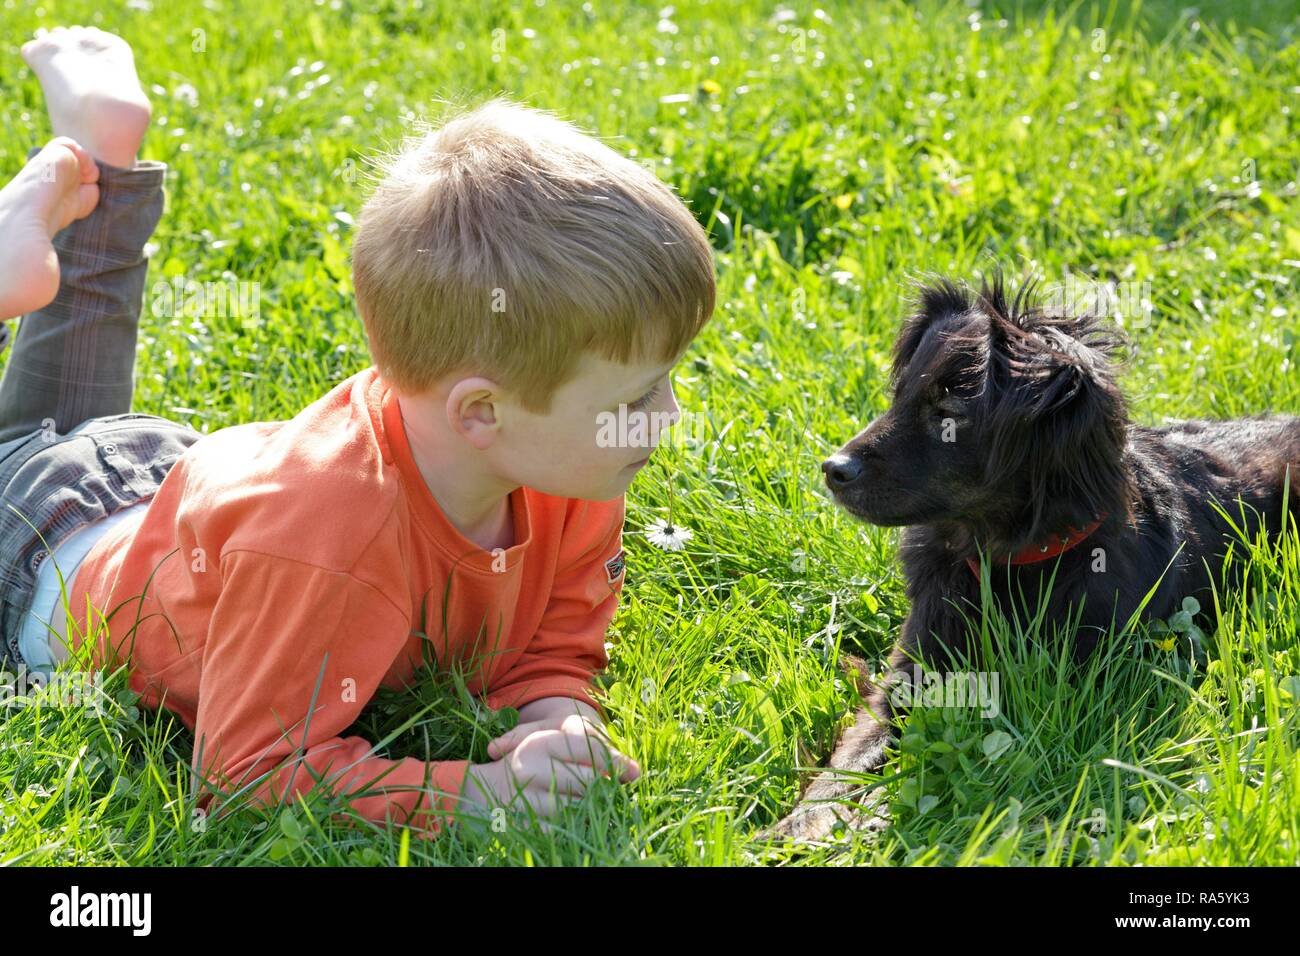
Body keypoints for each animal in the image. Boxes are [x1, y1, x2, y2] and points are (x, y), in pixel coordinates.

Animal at [769, 273, 1300, 842]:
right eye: (900, 396)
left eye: (948, 416)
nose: (833, 469)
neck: (1006, 560)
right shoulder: (909, 681)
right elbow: (847, 764)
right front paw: (796, 825)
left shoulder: (1068, 695)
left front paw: (873, 817)